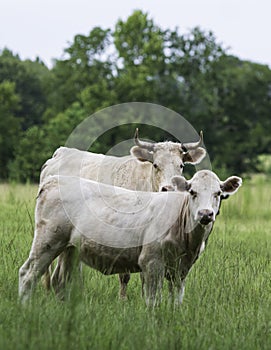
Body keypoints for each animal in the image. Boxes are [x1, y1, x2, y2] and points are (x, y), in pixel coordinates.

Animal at [20, 171, 243, 304]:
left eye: (218, 193)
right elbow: (153, 300)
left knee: (60, 281)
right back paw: (25, 309)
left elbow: (176, 299)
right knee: (28, 274)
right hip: (48, 241)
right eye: (192, 192)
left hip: (70, 249)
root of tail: (54, 179)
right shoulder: (151, 262)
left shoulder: (181, 269)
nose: (205, 214)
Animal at [40, 130, 207, 296]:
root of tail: (61, 152)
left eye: (181, 165)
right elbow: (125, 276)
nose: (169, 188)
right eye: (155, 165)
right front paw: (123, 298)